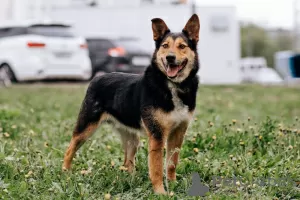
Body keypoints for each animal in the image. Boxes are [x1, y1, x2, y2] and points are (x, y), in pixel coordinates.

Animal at [62, 13, 199, 194]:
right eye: (165, 45)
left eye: (182, 46)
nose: (170, 57)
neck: (172, 86)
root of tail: (97, 77)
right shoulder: (157, 135)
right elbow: (156, 167)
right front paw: (160, 192)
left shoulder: (178, 133)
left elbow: (171, 164)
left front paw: (173, 184)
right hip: (86, 127)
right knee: (69, 149)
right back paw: (65, 173)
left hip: (131, 138)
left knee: (127, 162)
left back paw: (132, 181)